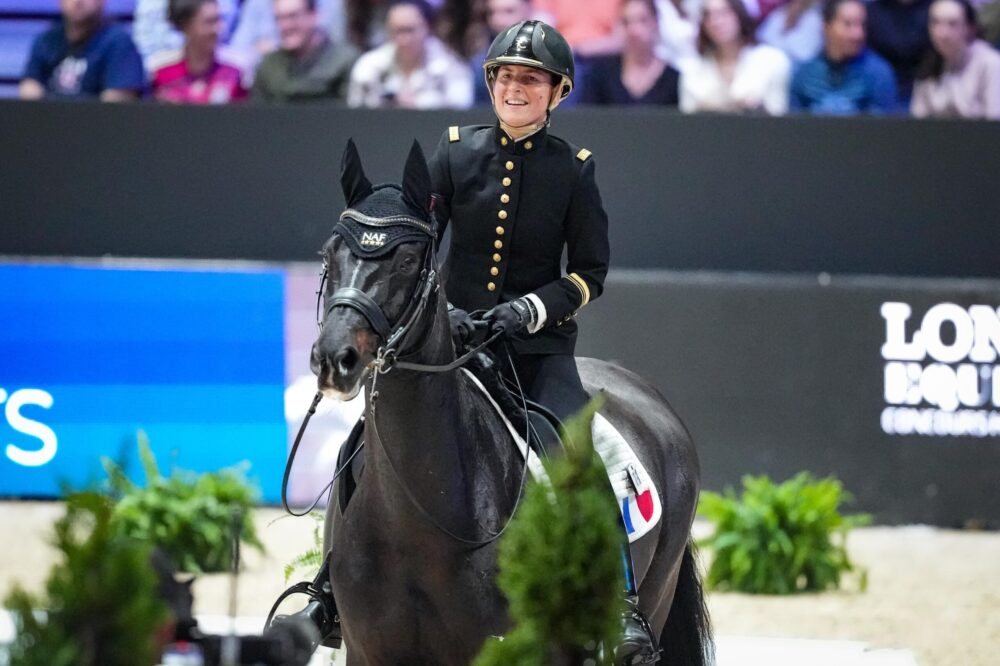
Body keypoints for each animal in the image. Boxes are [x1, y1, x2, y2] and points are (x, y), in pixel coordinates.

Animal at [312, 140, 712, 664]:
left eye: (406, 261)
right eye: (329, 253)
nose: (334, 359)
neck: (419, 518)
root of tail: (646, 393)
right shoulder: (367, 651)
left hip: (656, 595)